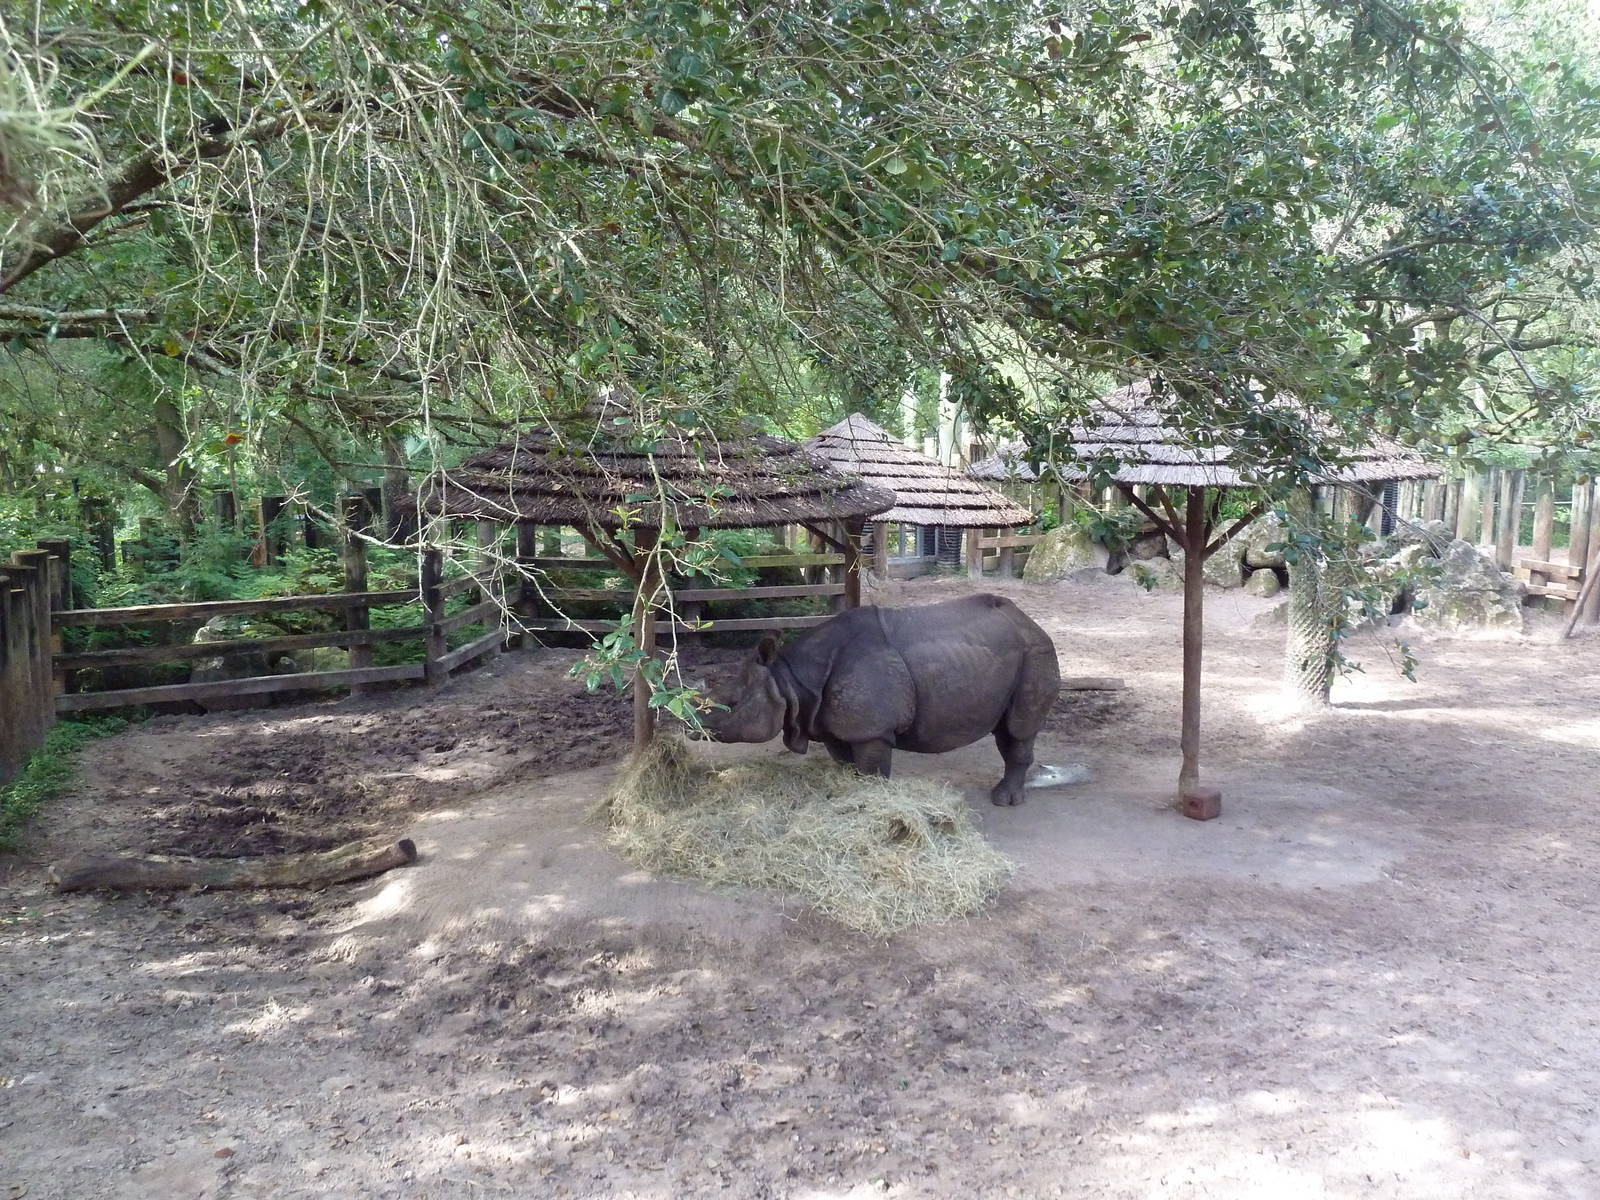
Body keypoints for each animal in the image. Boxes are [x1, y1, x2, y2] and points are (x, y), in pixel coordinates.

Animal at [701, 594, 1061, 805]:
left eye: (732, 704)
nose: (693, 728)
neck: (788, 680)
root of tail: (1030, 621)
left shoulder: (872, 730)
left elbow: (872, 771)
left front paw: (871, 803)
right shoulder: (831, 723)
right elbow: (848, 765)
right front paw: (848, 795)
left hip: (1037, 652)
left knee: (1019, 728)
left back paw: (1004, 800)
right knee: (1005, 728)